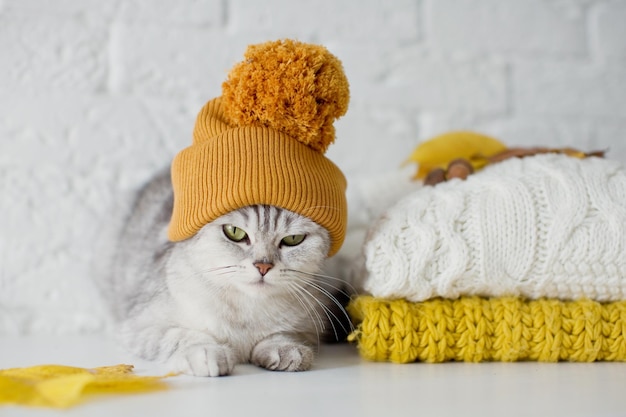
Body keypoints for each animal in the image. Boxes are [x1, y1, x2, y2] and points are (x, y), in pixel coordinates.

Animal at [108, 167, 352, 376]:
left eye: (293, 239)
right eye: (234, 232)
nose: (263, 266)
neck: (246, 314)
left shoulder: (309, 324)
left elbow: (284, 335)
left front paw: (284, 349)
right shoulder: (140, 325)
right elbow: (182, 335)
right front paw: (206, 352)